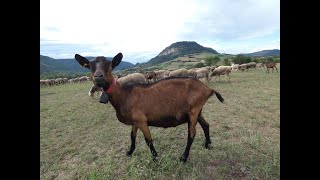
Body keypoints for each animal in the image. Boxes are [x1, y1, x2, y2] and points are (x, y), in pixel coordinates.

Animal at [75, 52, 225, 162]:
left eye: (110, 65)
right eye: (89, 66)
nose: (98, 77)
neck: (124, 95)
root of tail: (208, 88)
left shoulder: (142, 120)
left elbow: (148, 140)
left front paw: (155, 157)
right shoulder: (135, 120)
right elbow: (132, 136)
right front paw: (129, 152)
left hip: (194, 111)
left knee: (191, 134)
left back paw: (184, 157)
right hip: (197, 111)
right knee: (206, 125)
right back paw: (207, 144)